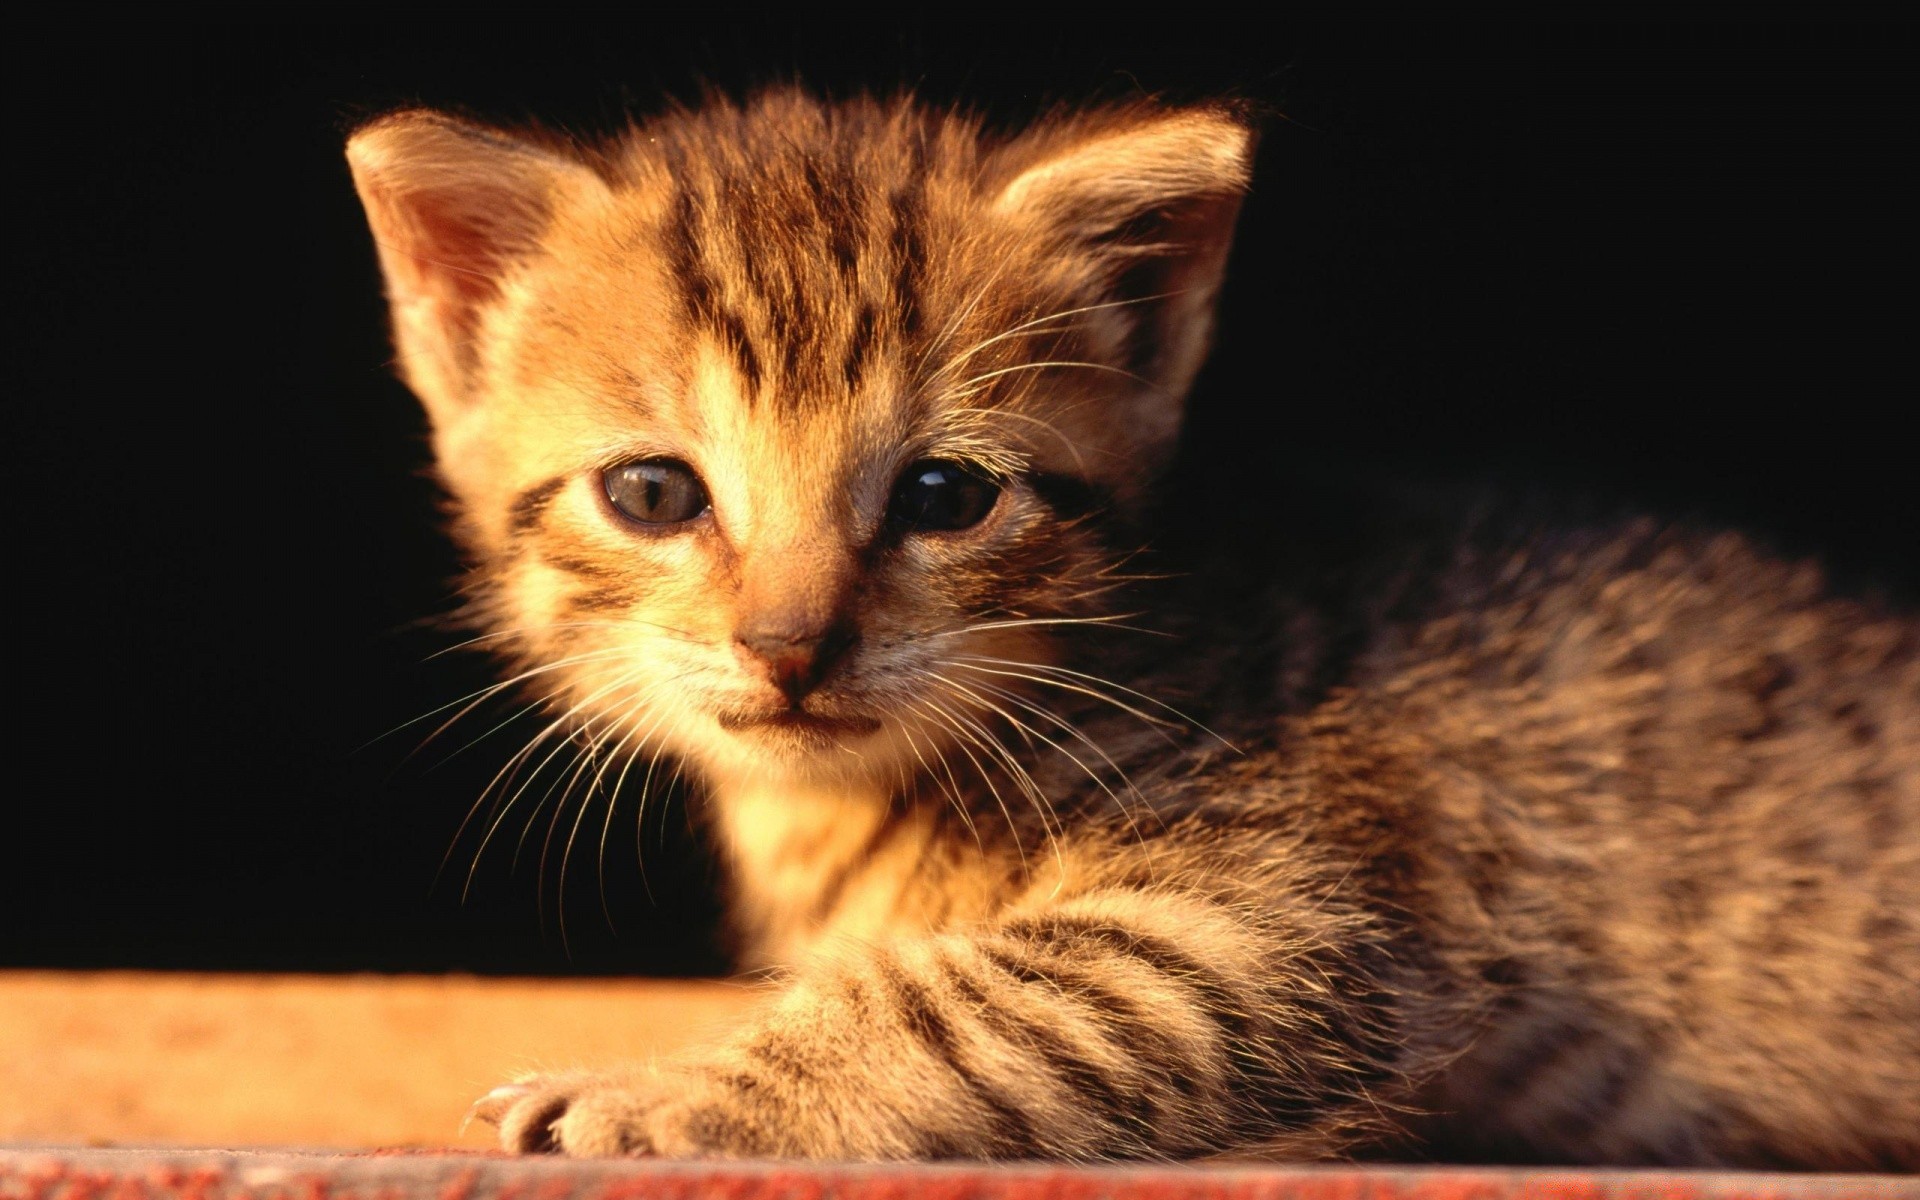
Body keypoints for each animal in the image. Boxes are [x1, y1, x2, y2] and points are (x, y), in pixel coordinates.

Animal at [349, 91, 1920, 1159]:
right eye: (655, 492)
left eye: (944, 494)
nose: (792, 646)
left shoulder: (1281, 913)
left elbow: (957, 998)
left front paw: (656, 1092)